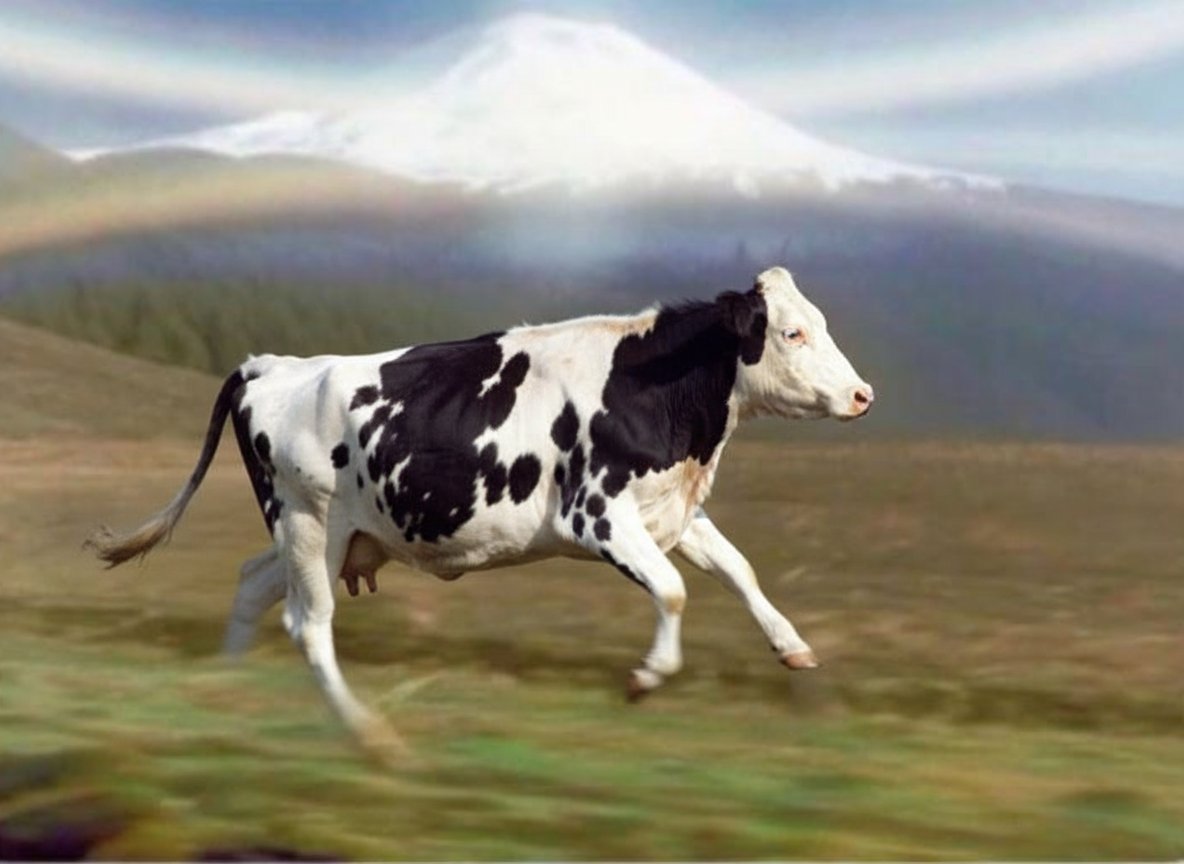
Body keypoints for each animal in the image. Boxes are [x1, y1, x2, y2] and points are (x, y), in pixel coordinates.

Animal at [87, 266, 873, 757]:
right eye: (792, 333)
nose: (863, 395)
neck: (655, 390)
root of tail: (271, 365)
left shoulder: (668, 515)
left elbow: (740, 571)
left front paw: (793, 647)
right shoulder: (597, 513)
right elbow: (676, 592)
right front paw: (646, 677)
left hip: (325, 535)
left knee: (253, 583)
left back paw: (226, 686)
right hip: (309, 523)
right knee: (309, 626)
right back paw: (369, 734)